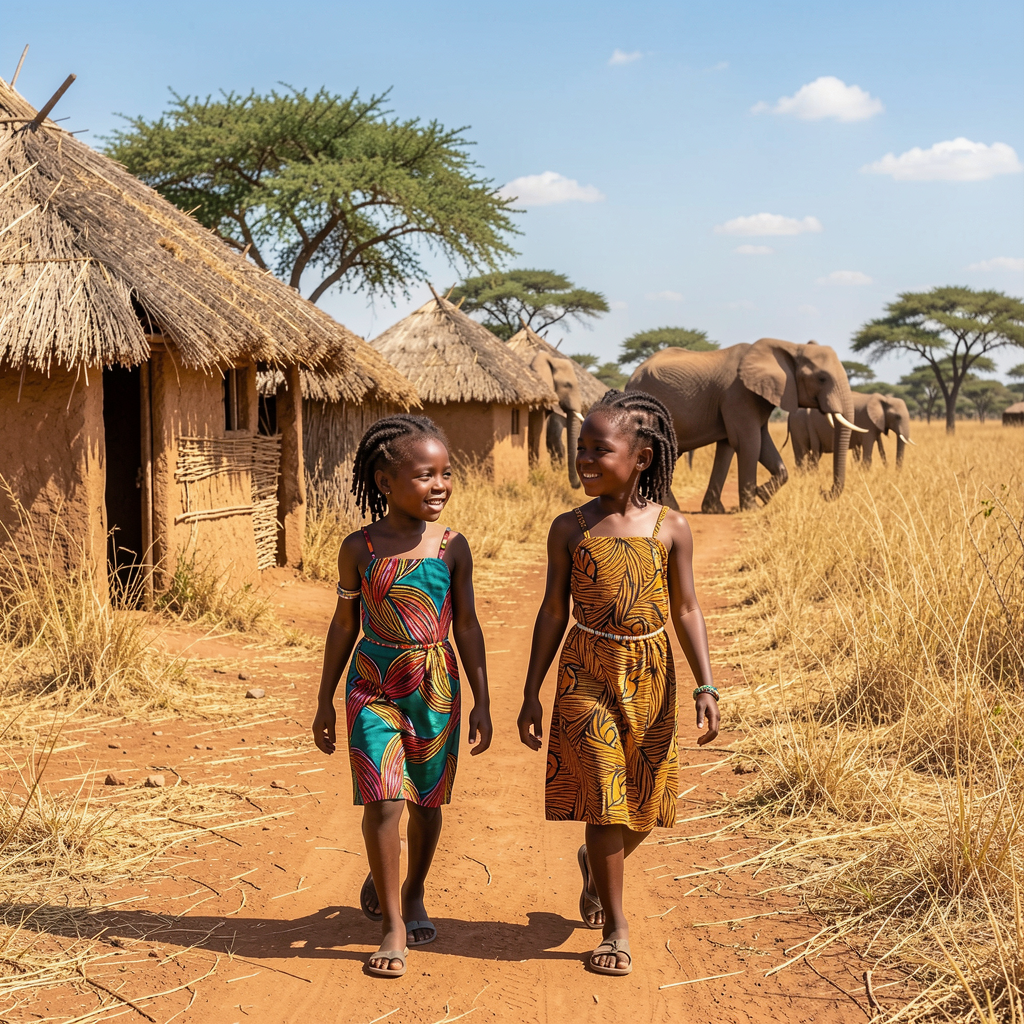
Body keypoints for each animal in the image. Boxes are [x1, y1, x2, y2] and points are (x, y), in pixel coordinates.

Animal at [626, 338, 862, 513]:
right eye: (822, 378)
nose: (824, 492)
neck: (789, 348)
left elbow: (748, 445)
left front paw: (753, 497)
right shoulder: (739, 395)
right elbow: (749, 443)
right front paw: (753, 508)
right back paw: (671, 509)